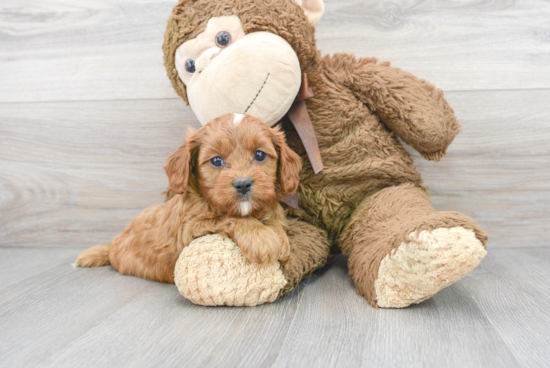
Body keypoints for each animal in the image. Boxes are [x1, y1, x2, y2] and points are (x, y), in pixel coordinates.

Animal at [74, 113, 302, 284]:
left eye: (260, 155)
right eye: (216, 161)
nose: (243, 184)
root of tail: (113, 244)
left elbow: (276, 222)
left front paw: (279, 238)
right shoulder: (189, 230)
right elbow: (229, 218)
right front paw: (261, 238)